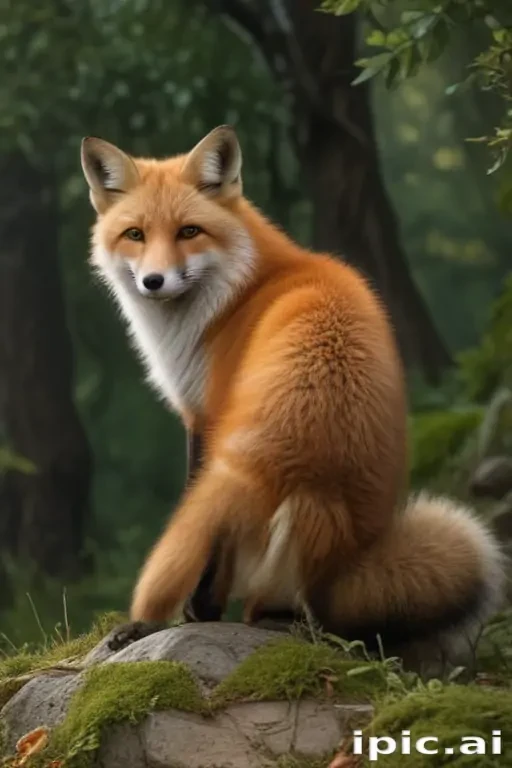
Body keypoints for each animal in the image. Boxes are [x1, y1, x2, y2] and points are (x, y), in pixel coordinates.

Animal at [80, 125, 505, 662]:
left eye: (188, 232)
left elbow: (205, 542)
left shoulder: (204, 416)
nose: (153, 281)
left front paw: (194, 614)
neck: (236, 293)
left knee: (275, 601)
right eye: (135, 234)